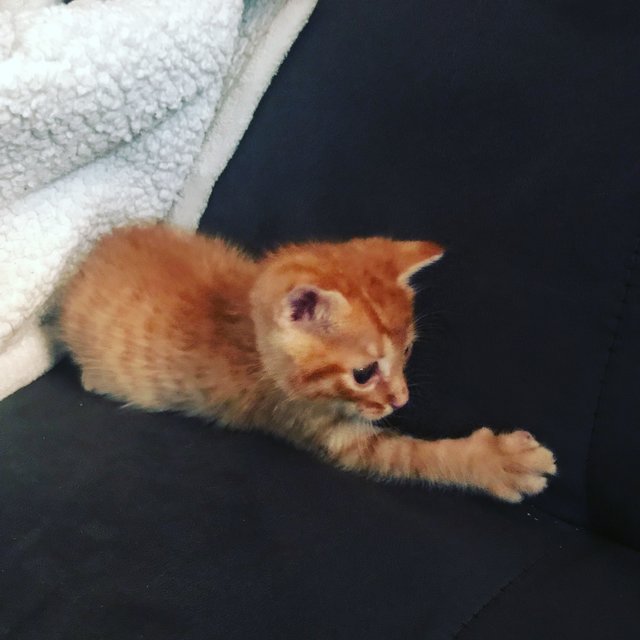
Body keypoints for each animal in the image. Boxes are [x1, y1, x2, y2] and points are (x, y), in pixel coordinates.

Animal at [60, 224, 556, 502]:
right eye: (363, 374)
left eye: (408, 352)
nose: (401, 399)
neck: (250, 329)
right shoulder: (310, 422)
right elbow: (412, 455)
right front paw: (496, 462)